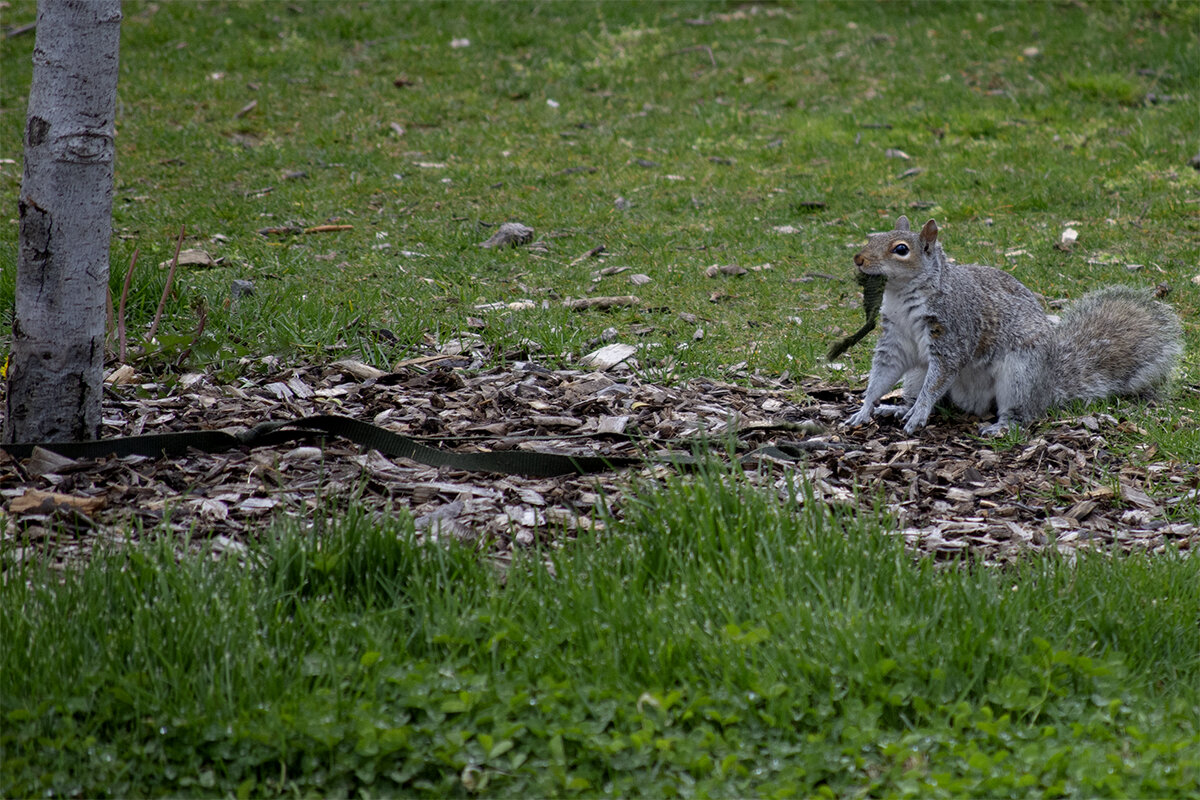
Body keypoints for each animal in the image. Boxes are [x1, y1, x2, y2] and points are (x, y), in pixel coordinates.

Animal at [844, 215, 1180, 434]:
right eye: (873, 237)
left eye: (901, 249)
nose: (858, 259)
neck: (901, 296)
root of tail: (1047, 386)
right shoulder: (895, 338)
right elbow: (883, 373)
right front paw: (865, 408)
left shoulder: (952, 331)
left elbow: (939, 379)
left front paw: (919, 415)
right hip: (917, 373)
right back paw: (901, 407)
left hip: (1019, 375)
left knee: (1020, 414)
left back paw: (1001, 426)